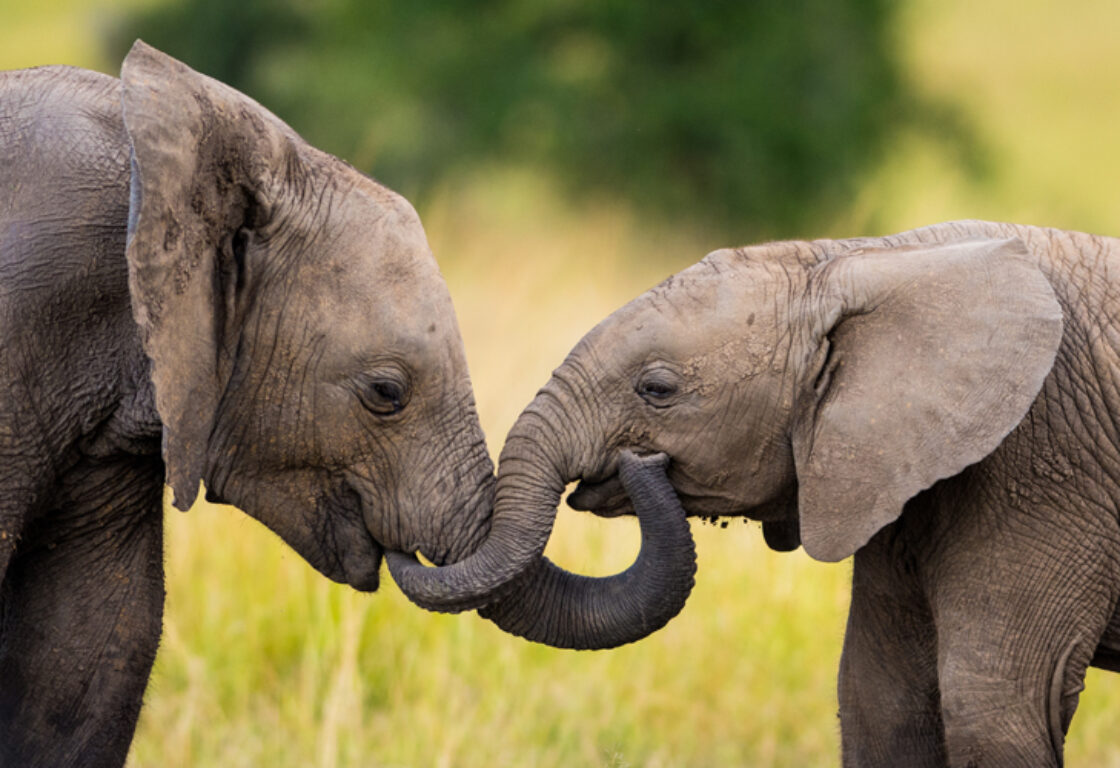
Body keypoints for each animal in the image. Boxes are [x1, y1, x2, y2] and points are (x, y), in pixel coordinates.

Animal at [483, 219, 1120, 766]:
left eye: (657, 389)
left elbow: (992, 709)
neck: (865, 257)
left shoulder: (1044, 465)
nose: (640, 465)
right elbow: (880, 701)